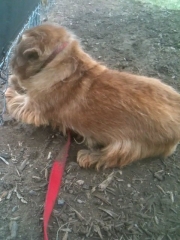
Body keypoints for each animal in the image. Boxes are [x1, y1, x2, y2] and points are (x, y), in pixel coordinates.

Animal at [4, 22, 180, 169]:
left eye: (17, 54)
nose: (10, 64)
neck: (58, 60)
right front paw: (15, 82)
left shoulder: (32, 108)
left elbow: (18, 101)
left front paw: (11, 91)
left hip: (128, 145)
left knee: (113, 157)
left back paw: (90, 156)